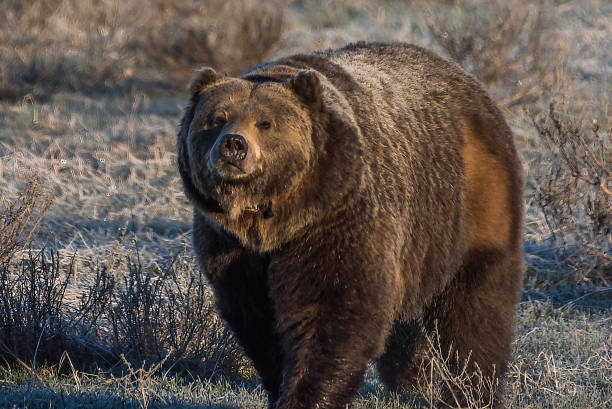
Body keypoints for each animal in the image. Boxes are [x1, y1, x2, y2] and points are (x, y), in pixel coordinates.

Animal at [178, 42, 524, 408]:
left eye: (265, 123)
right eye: (216, 118)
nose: (233, 145)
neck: (272, 220)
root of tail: (468, 80)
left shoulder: (336, 218)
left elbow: (334, 309)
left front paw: (308, 395)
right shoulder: (230, 247)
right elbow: (257, 320)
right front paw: (280, 382)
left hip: (470, 201)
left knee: (475, 306)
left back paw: (469, 391)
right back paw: (411, 376)